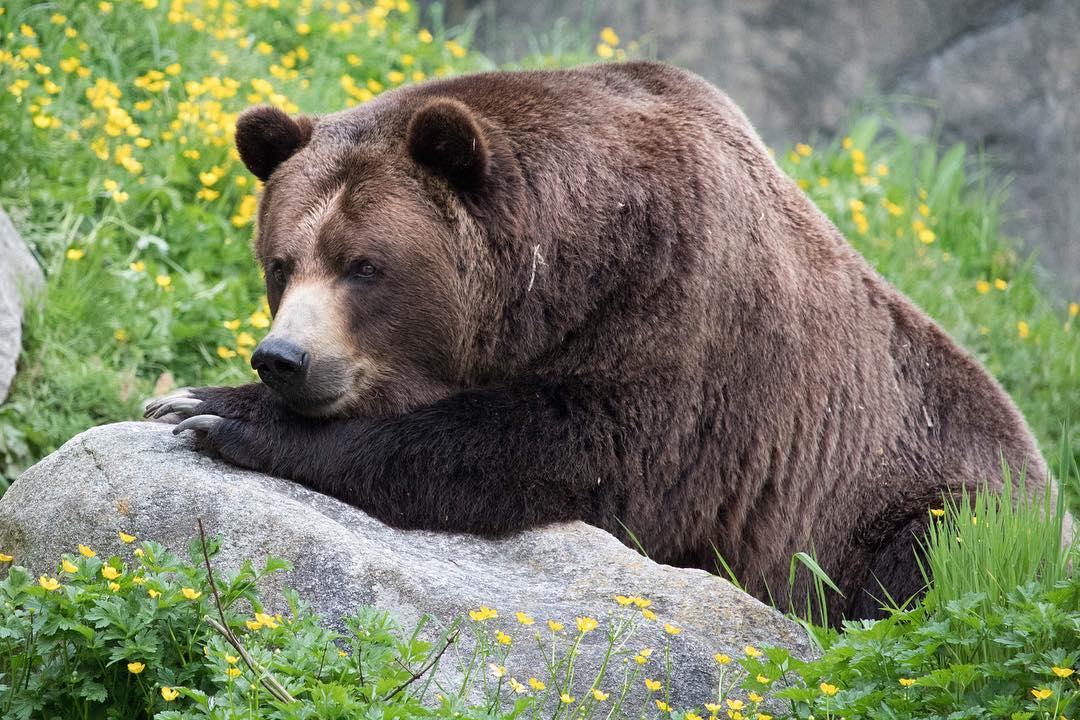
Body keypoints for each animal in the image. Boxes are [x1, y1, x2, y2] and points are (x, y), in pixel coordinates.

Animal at [145, 61, 1064, 622]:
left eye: (365, 266)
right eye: (281, 262)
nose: (284, 359)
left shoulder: (683, 319)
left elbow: (568, 450)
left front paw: (215, 410)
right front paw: (194, 396)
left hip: (932, 501)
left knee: (931, 564)